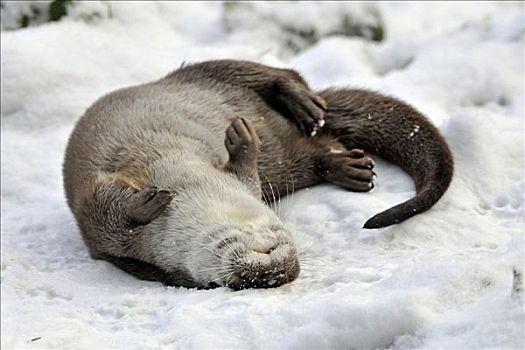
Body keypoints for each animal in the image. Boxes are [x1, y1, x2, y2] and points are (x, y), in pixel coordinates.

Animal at [61, 60, 452, 290]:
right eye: (231, 285)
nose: (273, 274)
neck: (189, 182)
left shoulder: (233, 180)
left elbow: (244, 174)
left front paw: (242, 142)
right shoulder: (103, 231)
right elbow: (106, 213)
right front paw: (149, 200)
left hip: (207, 74)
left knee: (279, 74)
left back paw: (302, 104)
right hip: (283, 163)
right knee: (313, 153)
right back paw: (346, 166)